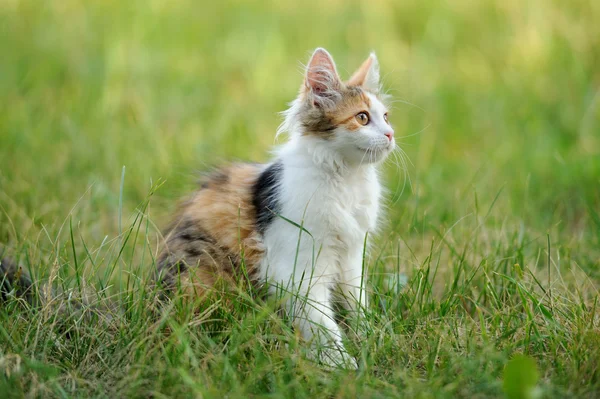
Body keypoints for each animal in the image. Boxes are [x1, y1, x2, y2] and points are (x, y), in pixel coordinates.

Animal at [157, 47, 396, 368]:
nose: (391, 134)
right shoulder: (295, 269)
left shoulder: (351, 257)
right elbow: (323, 323)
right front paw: (342, 364)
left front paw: (371, 338)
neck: (347, 178)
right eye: (362, 117)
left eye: (386, 117)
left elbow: (356, 304)